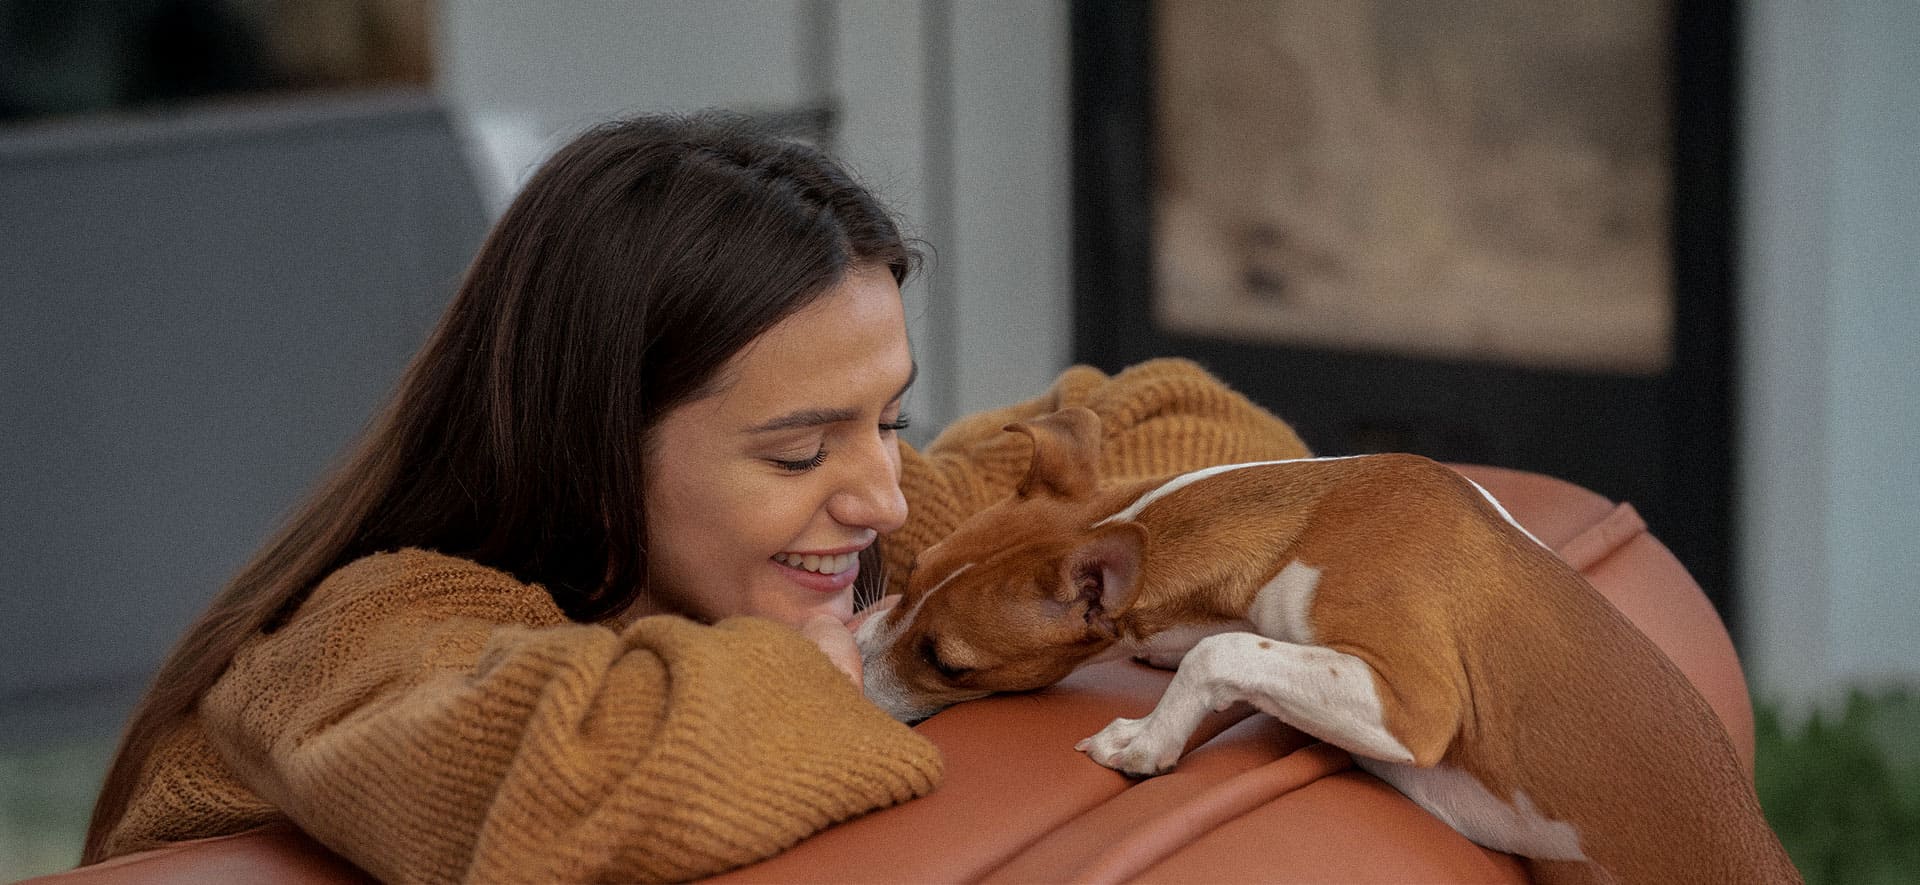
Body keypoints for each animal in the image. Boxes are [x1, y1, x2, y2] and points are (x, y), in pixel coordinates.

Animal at [856, 406, 1797, 883]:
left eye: (947, 662)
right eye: (910, 571)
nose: (851, 669)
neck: (1309, 515)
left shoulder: (1414, 701)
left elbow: (1222, 653)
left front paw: (1146, 738)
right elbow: (1221, 646)